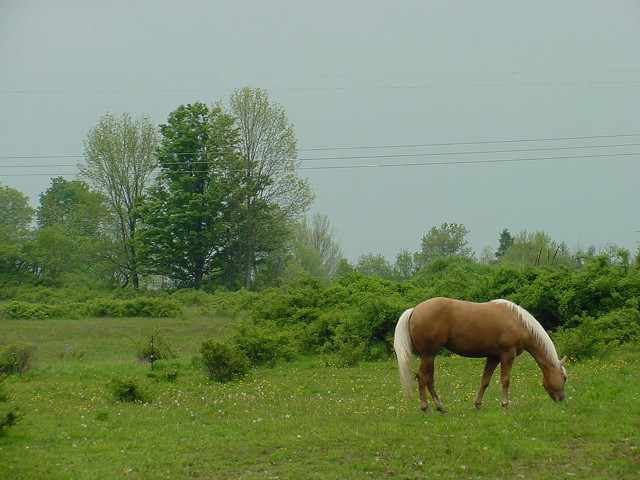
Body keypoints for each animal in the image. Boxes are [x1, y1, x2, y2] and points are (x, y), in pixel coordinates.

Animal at [393, 297, 567, 413]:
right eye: (564, 378)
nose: (562, 400)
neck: (518, 321)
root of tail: (414, 310)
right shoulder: (507, 354)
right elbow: (505, 380)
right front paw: (505, 404)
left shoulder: (493, 357)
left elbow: (485, 381)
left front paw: (477, 404)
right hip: (428, 355)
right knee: (423, 377)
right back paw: (427, 408)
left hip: (429, 356)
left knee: (429, 379)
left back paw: (440, 407)